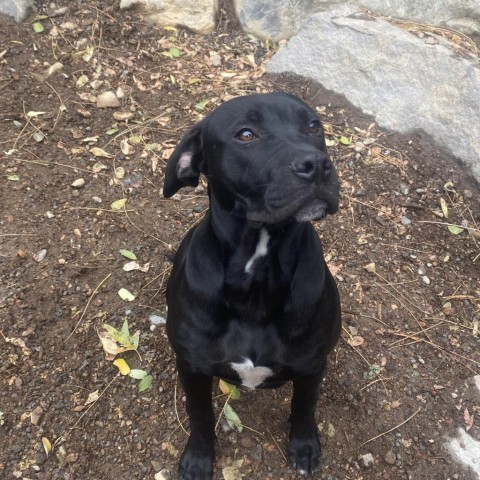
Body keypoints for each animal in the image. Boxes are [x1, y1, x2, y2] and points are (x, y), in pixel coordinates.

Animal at [164, 92, 342, 478]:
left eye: (313, 126)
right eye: (246, 134)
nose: (318, 165)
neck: (258, 275)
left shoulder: (311, 366)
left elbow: (304, 408)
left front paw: (304, 447)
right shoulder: (192, 367)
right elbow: (200, 416)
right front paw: (198, 458)